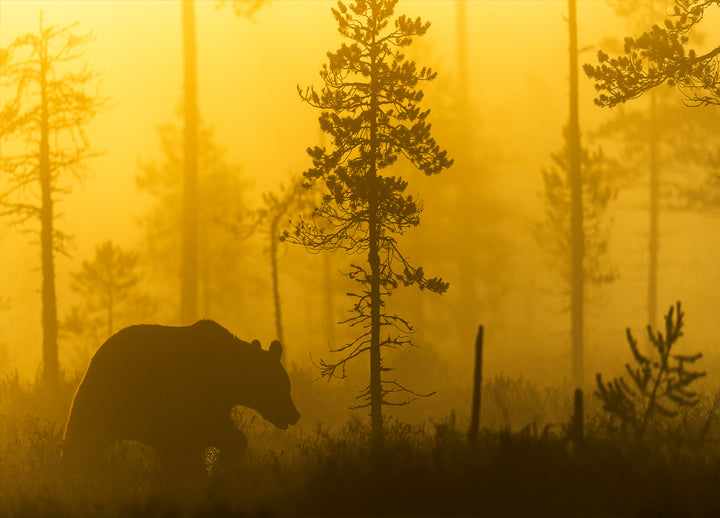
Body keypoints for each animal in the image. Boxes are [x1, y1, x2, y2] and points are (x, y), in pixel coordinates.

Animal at [61, 320, 300, 475]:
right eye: (284, 386)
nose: (295, 414)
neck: (232, 377)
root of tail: (96, 355)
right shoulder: (197, 397)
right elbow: (216, 430)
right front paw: (219, 460)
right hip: (110, 396)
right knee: (83, 433)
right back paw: (73, 466)